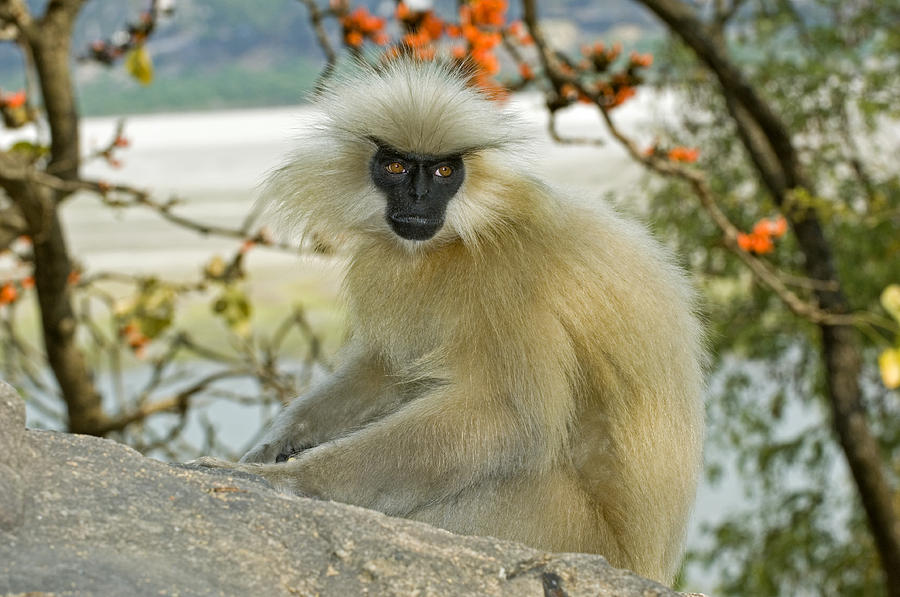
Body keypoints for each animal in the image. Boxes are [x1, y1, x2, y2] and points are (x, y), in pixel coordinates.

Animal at [193, 57, 708, 588]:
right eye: (396, 166)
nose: (419, 197)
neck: (464, 234)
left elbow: (505, 419)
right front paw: (276, 445)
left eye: (443, 170)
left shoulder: (512, 275)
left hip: (555, 523)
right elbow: (390, 371)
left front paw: (284, 480)